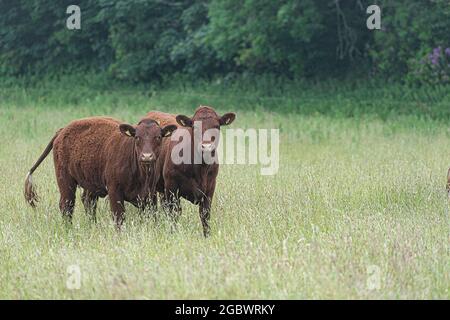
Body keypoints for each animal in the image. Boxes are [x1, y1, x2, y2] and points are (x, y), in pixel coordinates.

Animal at [24, 116, 176, 226]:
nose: (146, 156)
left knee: (88, 202)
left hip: (90, 183)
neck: (141, 175)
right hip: (65, 180)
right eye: (137, 137)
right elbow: (119, 217)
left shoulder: (150, 194)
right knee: (67, 206)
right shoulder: (114, 191)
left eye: (158, 137)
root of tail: (62, 131)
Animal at [148, 106, 237, 236]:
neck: (200, 168)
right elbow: (174, 212)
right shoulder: (171, 187)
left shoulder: (210, 188)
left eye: (216, 126)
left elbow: (205, 214)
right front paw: (173, 233)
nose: (206, 146)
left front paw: (207, 235)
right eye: (195, 127)